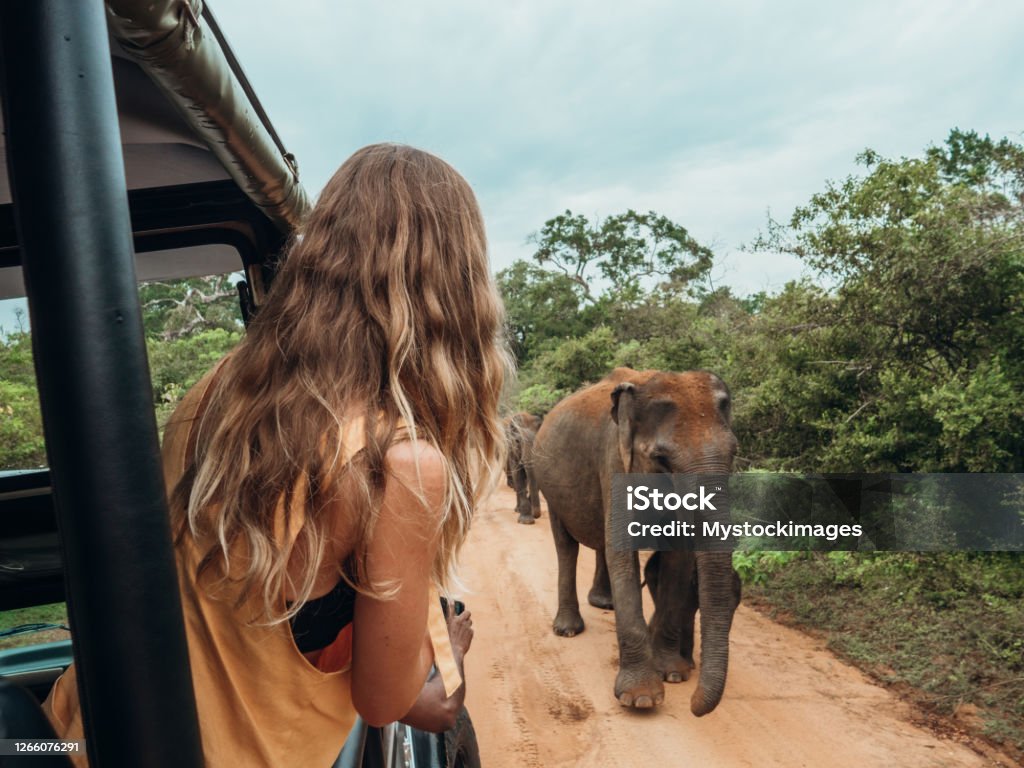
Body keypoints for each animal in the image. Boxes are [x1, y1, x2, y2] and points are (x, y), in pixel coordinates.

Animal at [532, 370, 741, 720]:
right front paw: (641, 698)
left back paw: (605, 604)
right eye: (661, 459)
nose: (694, 708)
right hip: (550, 487)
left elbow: (677, 560)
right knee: (565, 547)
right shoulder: (614, 462)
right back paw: (568, 629)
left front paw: (673, 674)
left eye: (734, 453)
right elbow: (621, 550)